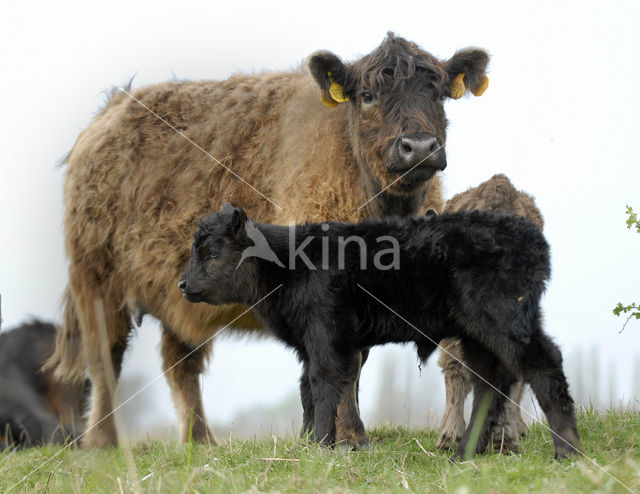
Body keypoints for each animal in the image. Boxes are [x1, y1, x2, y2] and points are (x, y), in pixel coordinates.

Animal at [48, 30, 490, 448]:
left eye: (438, 93)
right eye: (367, 96)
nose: (419, 147)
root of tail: (111, 109)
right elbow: (343, 364)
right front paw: (349, 437)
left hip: (181, 292)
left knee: (180, 362)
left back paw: (201, 441)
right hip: (97, 282)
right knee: (105, 358)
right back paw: (102, 442)